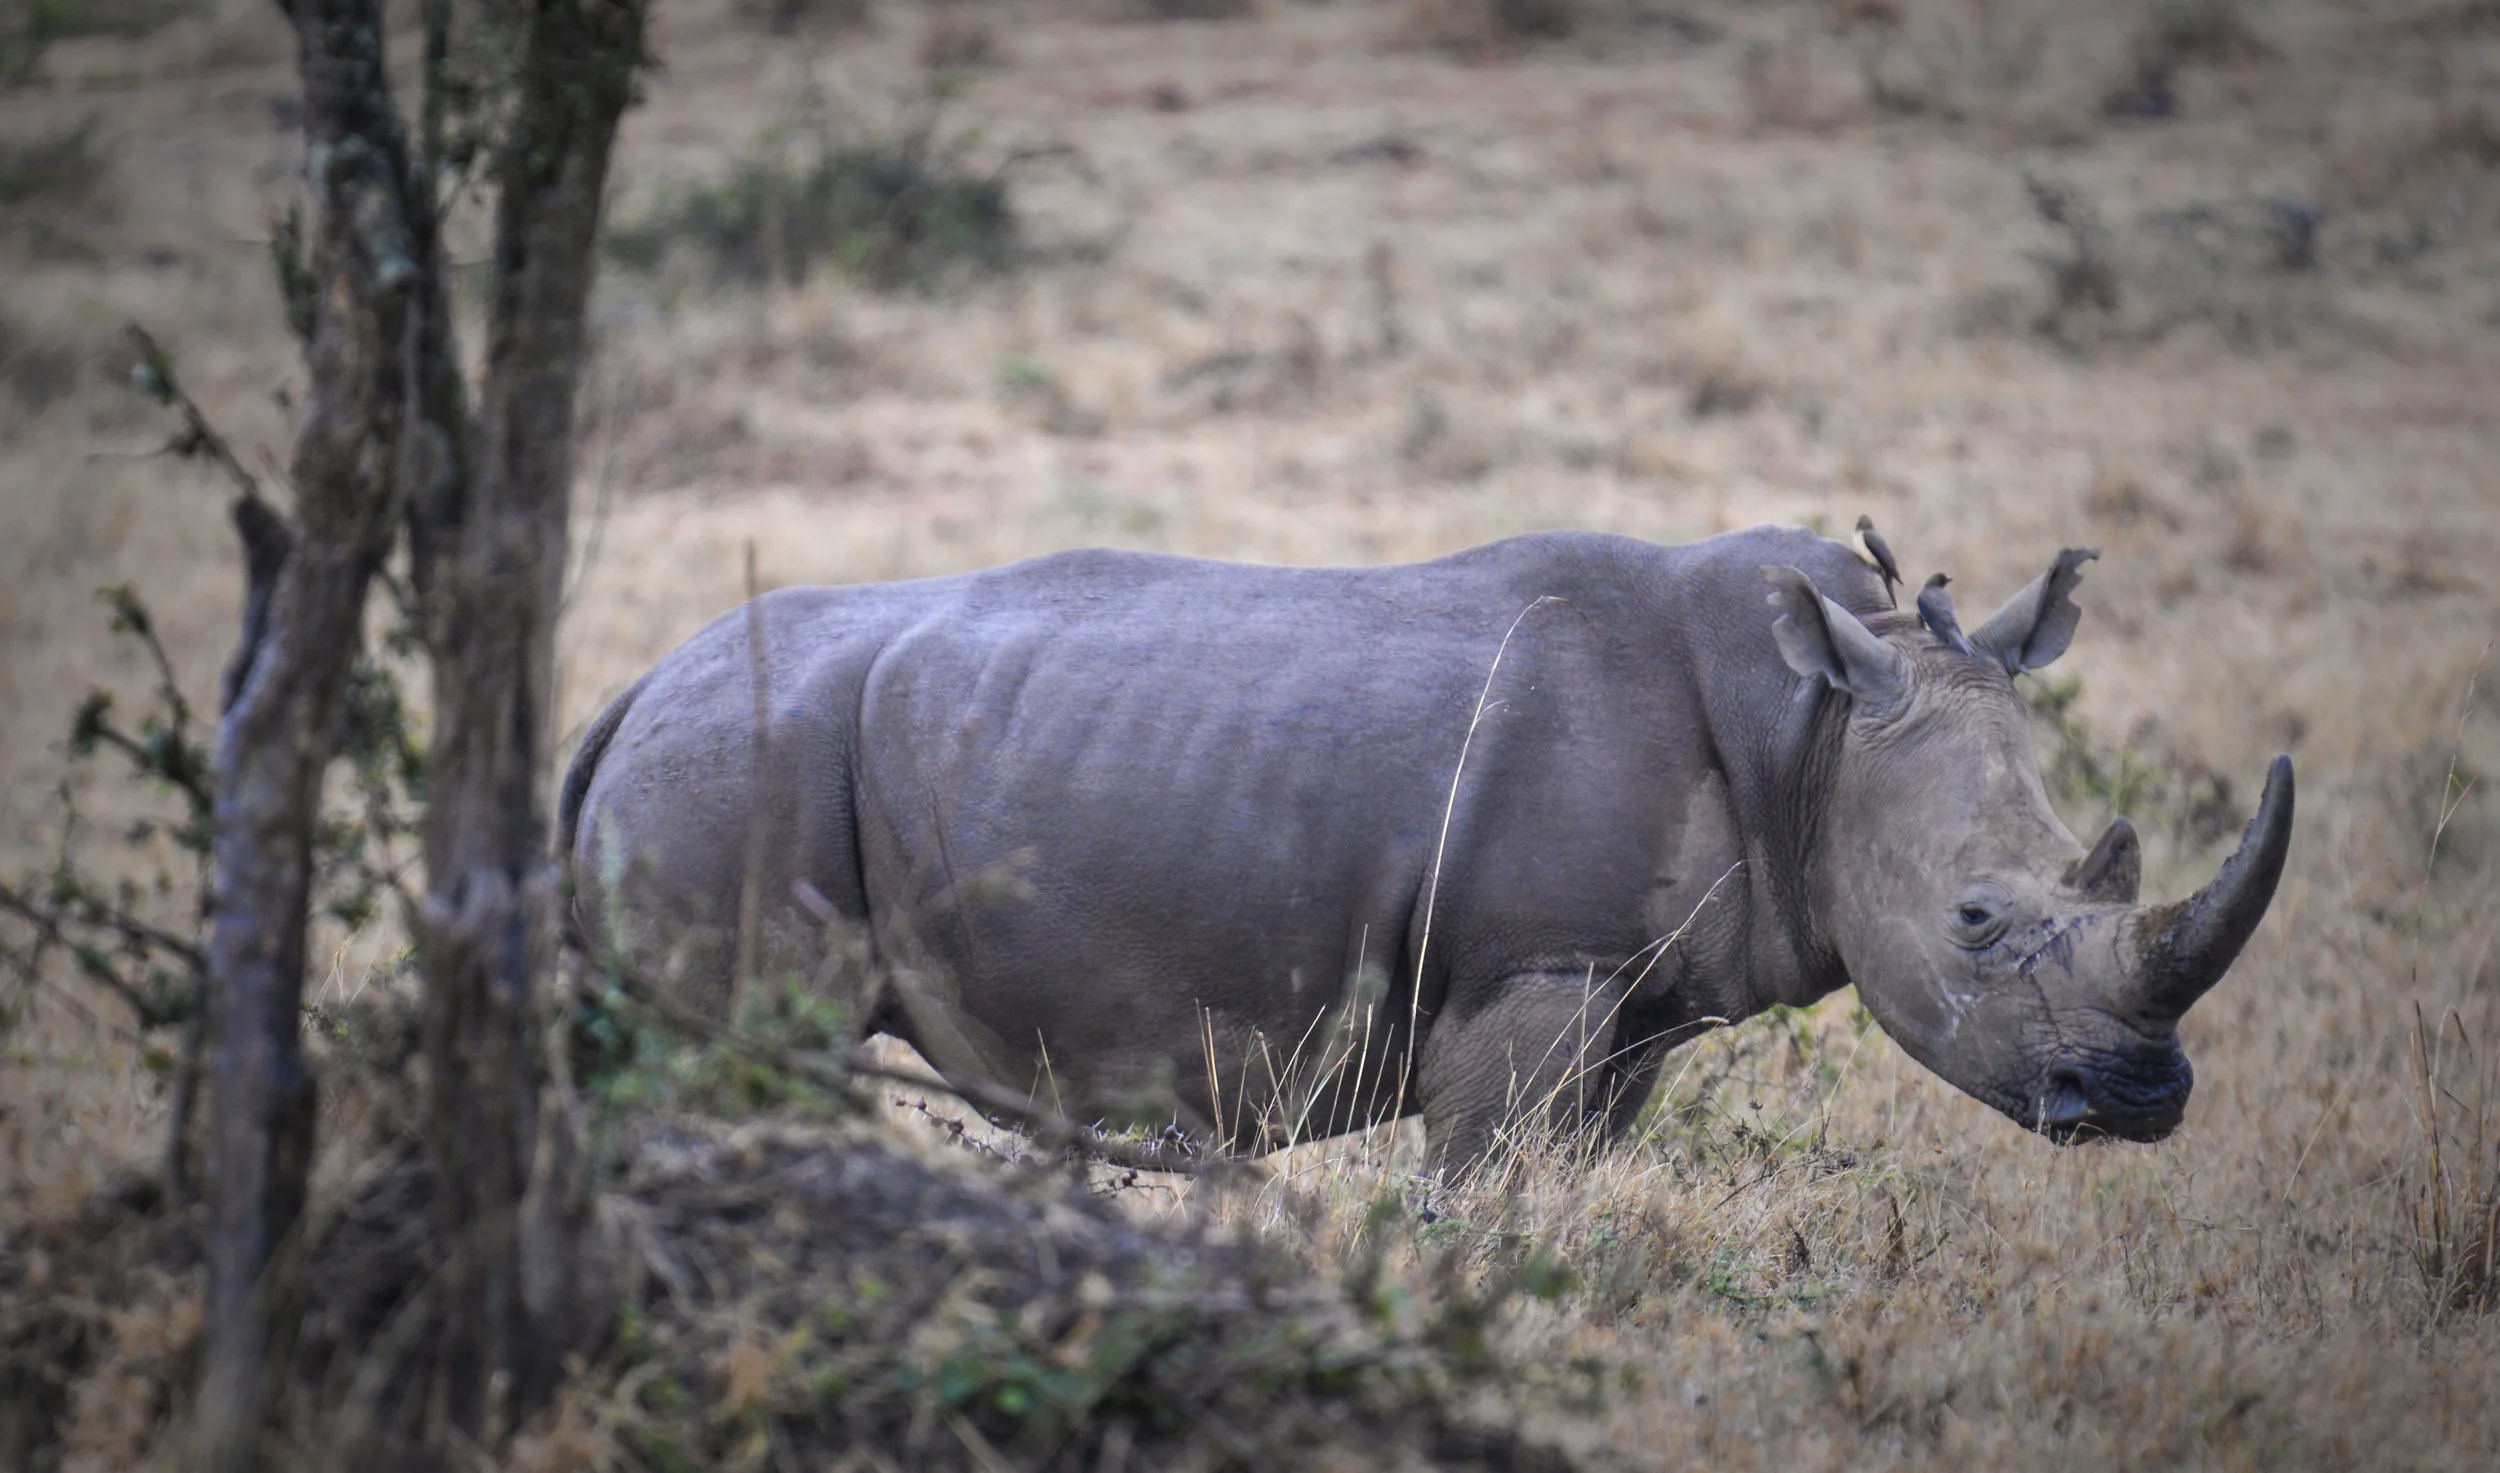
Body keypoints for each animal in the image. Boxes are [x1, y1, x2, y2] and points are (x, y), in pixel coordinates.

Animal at [560, 524, 2292, 1170]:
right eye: (1979, 919)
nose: (2144, 1097)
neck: (1813, 729)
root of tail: (632, 684)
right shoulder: (1536, 971)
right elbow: (1483, 1185)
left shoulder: (1627, 996)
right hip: (738, 766)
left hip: (733, 754)